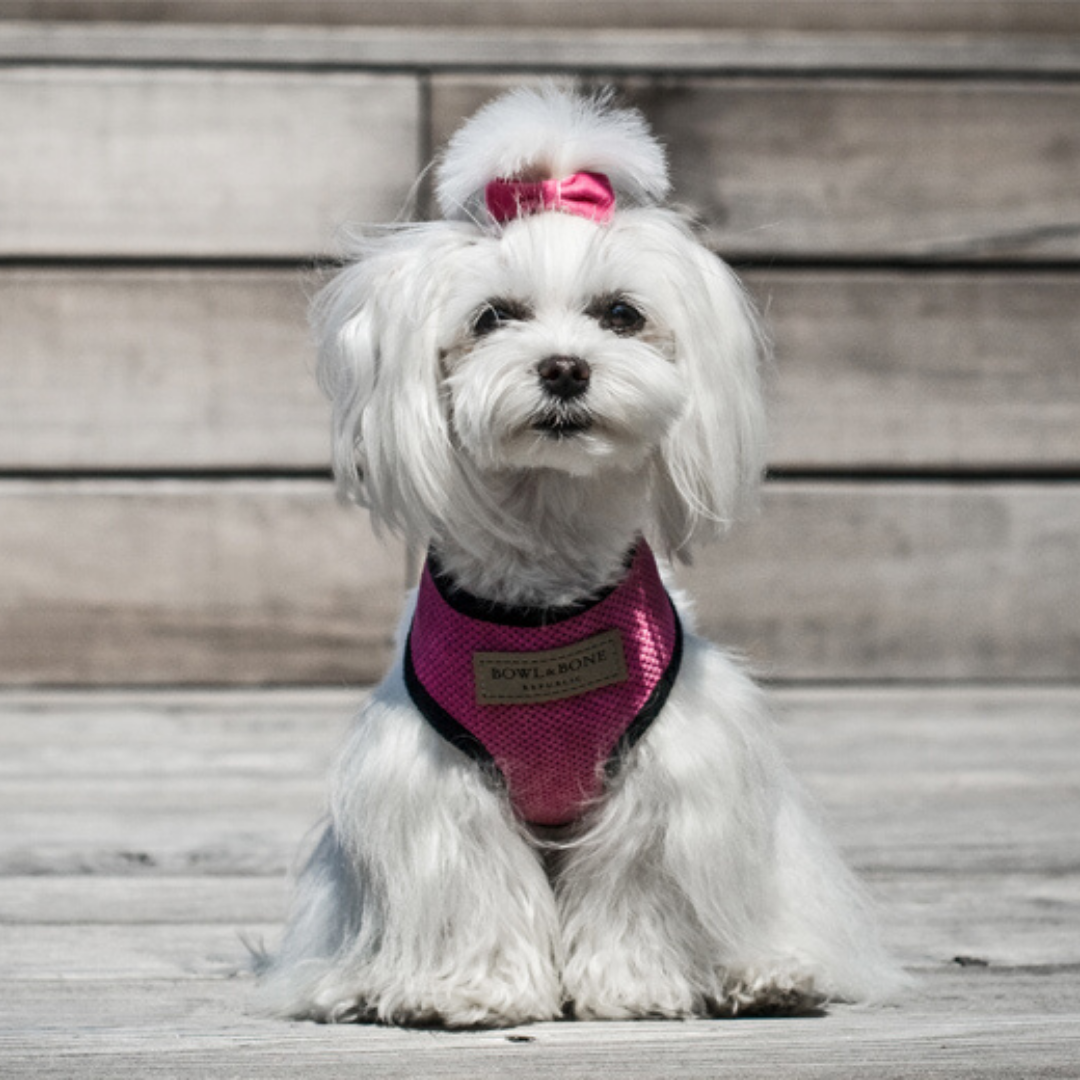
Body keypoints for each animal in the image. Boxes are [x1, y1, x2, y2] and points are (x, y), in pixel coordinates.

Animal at [257, 84, 907, 1028]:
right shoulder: (439, 783)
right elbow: (476, 885)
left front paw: (632, 986)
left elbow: (636, 878)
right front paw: (474, 989)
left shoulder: (668, 772)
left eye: (621, 314)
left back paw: (767, 975)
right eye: (493, 317)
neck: (546, 583)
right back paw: (356, 985)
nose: (564, 369)